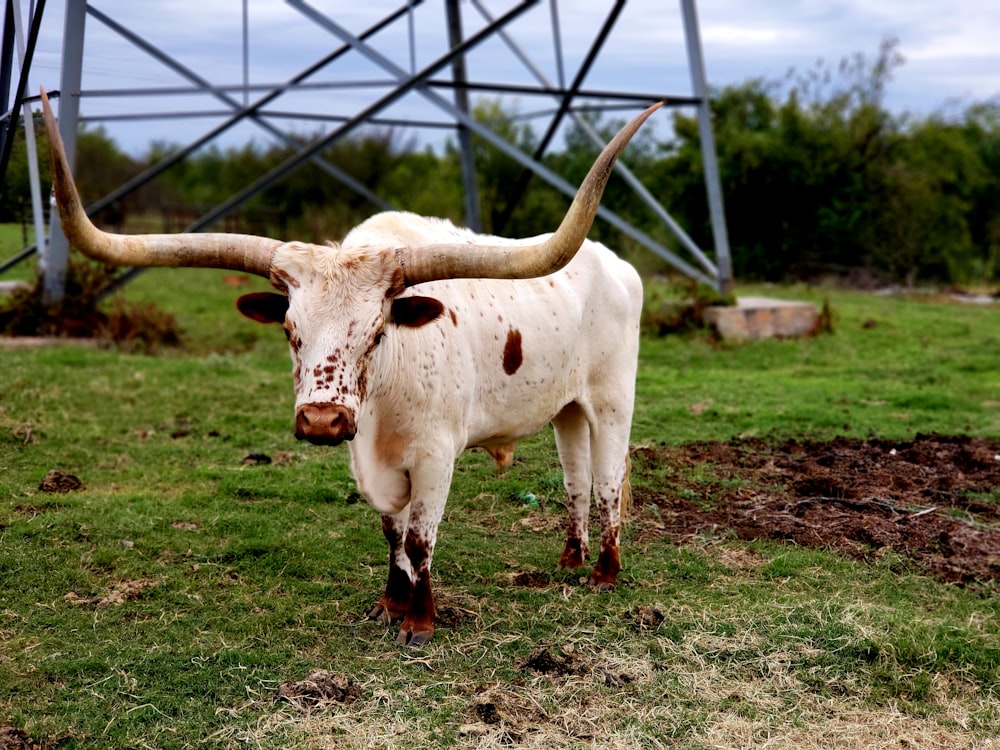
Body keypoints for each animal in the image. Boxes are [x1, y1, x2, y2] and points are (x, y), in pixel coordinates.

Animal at [43, 89, 660, 648]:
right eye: (290, 331)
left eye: (377, 333)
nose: (322, 421)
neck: (386, 398)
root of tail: (616, 265)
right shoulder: (368, 457)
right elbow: (392, 534)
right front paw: (390, 604)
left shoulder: (435, 456)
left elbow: (420, 539)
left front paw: (420, 623)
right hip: (566, 408)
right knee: (576, 478)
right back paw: (570, 559)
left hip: (612, 401)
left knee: (607, 479)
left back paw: (604, 573)